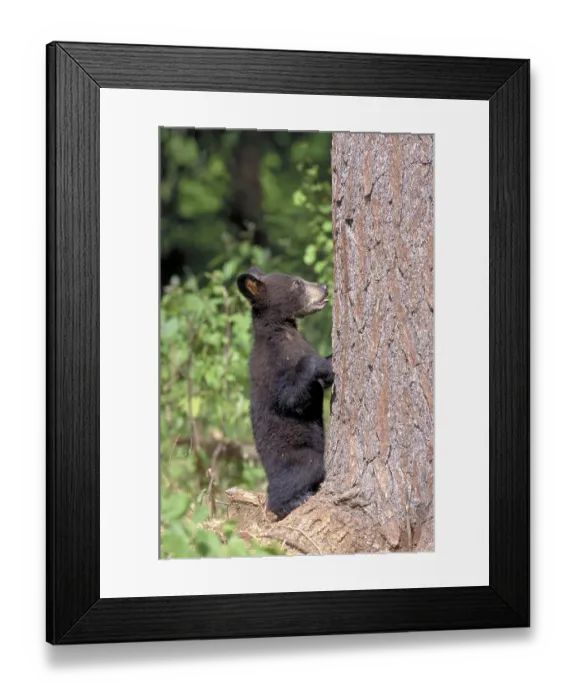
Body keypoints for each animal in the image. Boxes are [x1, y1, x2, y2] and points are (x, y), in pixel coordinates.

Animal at [237, 266, 334, 520]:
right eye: (297, 283)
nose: (324, 287)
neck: (282, 329)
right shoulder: (275, 365)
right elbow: (290, 398)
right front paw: (322, 366)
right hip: (296, 457)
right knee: (298, 476)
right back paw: (297, 499)